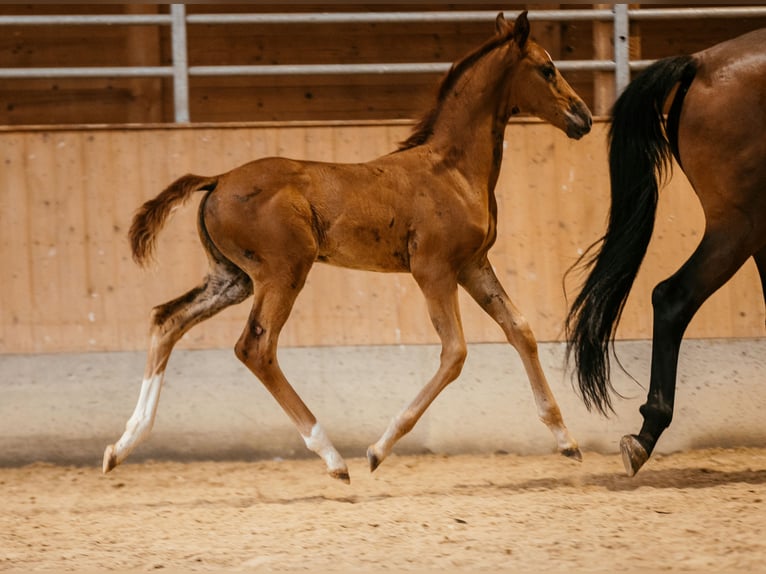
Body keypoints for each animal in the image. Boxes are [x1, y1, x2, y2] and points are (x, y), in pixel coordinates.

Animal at [105, 11, 592, 484]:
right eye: (547, 69)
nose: (584, 117)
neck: (452, 170)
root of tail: (218, 179)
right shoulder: (434, 270)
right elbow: (455, 352)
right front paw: (378, 449)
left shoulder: (473, 264)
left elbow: (520, 329)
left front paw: (566, 440)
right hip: (284, 271)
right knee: (255, 348)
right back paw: (333, 457)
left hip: (233, 279)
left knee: (168, 320)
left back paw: (121, 446)